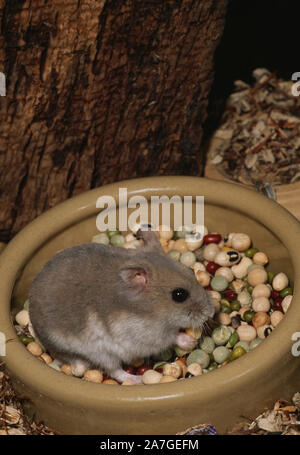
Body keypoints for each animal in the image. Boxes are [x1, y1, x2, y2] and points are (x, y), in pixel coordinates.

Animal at [29, 230, 214, 382]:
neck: (151, 309)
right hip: (101, 354)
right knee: (115, 372)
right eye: (179, 295)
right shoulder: (147, 336)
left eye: (191, 271)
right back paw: (137, 380)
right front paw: (190, 342)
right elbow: (172, 337)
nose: (210, 313)